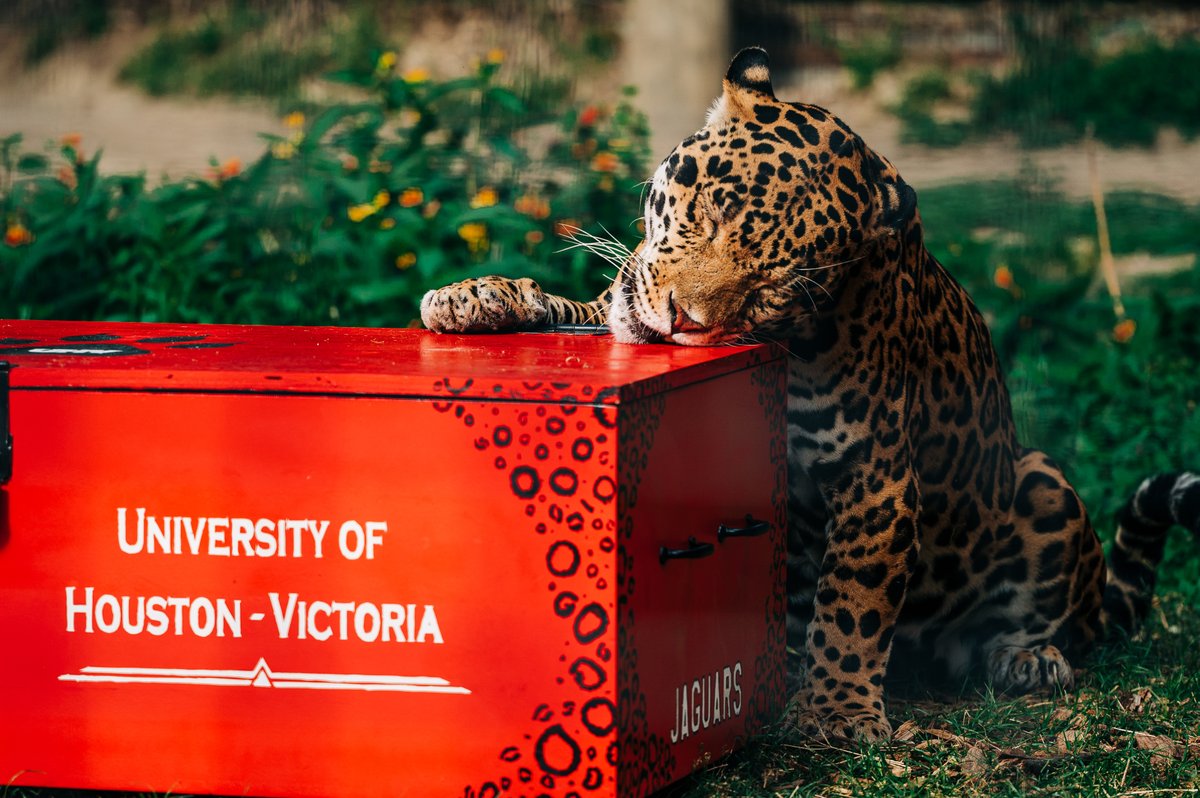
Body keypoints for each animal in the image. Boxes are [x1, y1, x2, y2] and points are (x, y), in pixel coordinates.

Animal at [420, 47, 1200, 744]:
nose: (682, 322)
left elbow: (853, 604)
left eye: (771, 288)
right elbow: (580, 307)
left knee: (1052, 619)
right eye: (710, 212)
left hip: (1044, 484)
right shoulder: (617, 310)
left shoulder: (876, 480)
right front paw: (476, 297)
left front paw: (835, 712)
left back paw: (1029, 660)